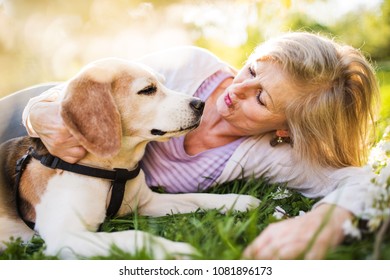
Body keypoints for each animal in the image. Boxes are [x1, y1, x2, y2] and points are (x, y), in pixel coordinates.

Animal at [0, 58, 262, 260]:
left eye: (164, 83)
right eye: (148, 90)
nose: (201, 104)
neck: (113, 170)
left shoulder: (148, 202)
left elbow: (197, 198)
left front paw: (239, 201)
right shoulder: (66, 236)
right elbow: (136, 235)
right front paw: (175, 251)